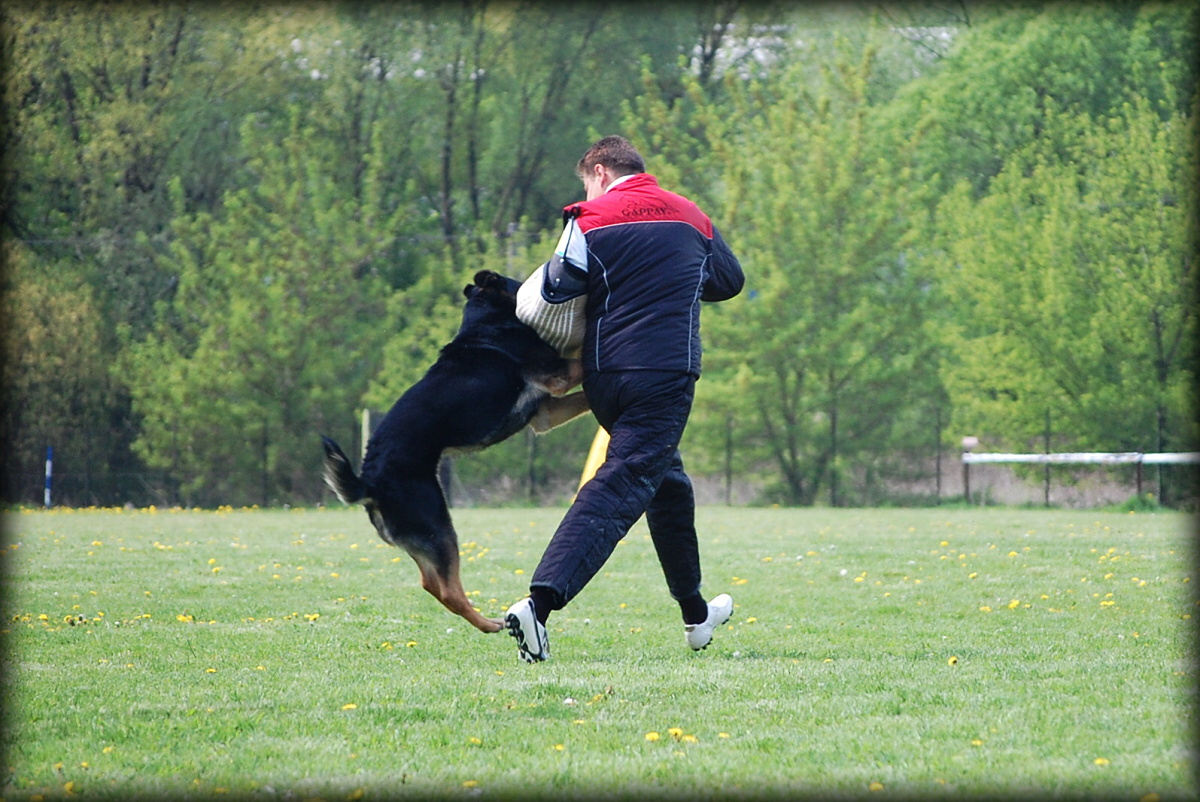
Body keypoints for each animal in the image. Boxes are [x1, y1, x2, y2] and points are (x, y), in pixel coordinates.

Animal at [321, 268, 588, 633]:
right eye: (519, 282)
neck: (485, 322)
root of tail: (369, 483)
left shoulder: (545, 413)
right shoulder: (559, 376)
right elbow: (583, 357)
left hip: (424, 538)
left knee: (431, 584)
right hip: (439, 526)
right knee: (448, 589)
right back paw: (490, 623)